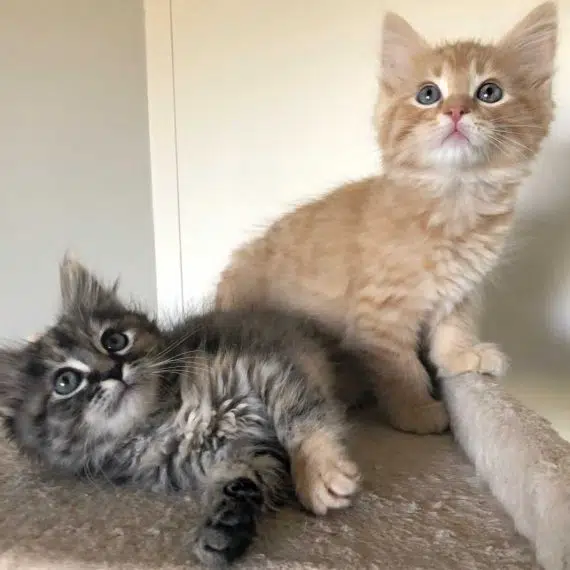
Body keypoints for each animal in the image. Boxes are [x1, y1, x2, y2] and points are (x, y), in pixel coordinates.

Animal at [0, 256, 360, 566]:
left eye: (114, 340)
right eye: (66, 382)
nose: (113, 369)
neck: (168, 416)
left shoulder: (263, 369)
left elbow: (298, 417)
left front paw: (318, 472)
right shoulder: (241, 450)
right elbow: (242, 482)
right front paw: (224, 529)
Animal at [215, 3, 558, 435]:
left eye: (489, 92)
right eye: (428, 94)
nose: (456, 110)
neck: (454, 199)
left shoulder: (461, 289)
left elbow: (453, 327)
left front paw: (461, 357)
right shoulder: (380, 314)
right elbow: (400, 365)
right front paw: (417, 410)